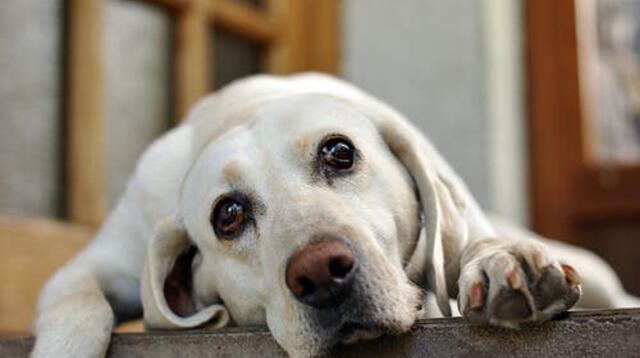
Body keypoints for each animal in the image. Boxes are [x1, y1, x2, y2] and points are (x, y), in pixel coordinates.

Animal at [31, 73, 640, 358]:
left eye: (340, 152)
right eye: (228, 214)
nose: (321, 273)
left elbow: (471, 244)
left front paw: (498, 263)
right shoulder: (92, 264)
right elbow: (76, 307)